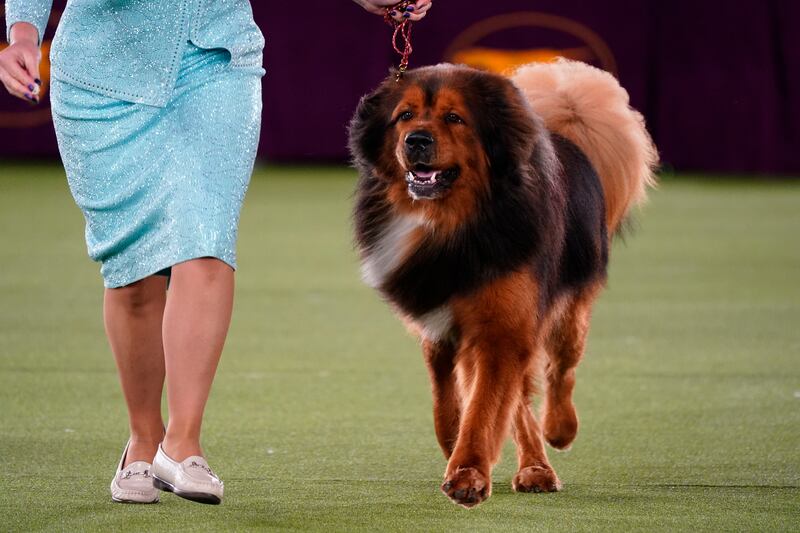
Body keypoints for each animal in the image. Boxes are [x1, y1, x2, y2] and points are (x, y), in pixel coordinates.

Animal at [348, 59, 656, 508]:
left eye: (454, 118)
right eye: (404, 115)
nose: (416, 140)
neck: (452, 225)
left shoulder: (501, 328)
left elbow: (486, 408)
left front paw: (468, 473)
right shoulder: (439, 324)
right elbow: (451, 398)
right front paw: (456, 446)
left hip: (568, 313)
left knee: (561, 370)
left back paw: (558, 430)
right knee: (517, 398)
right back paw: (535, 468)